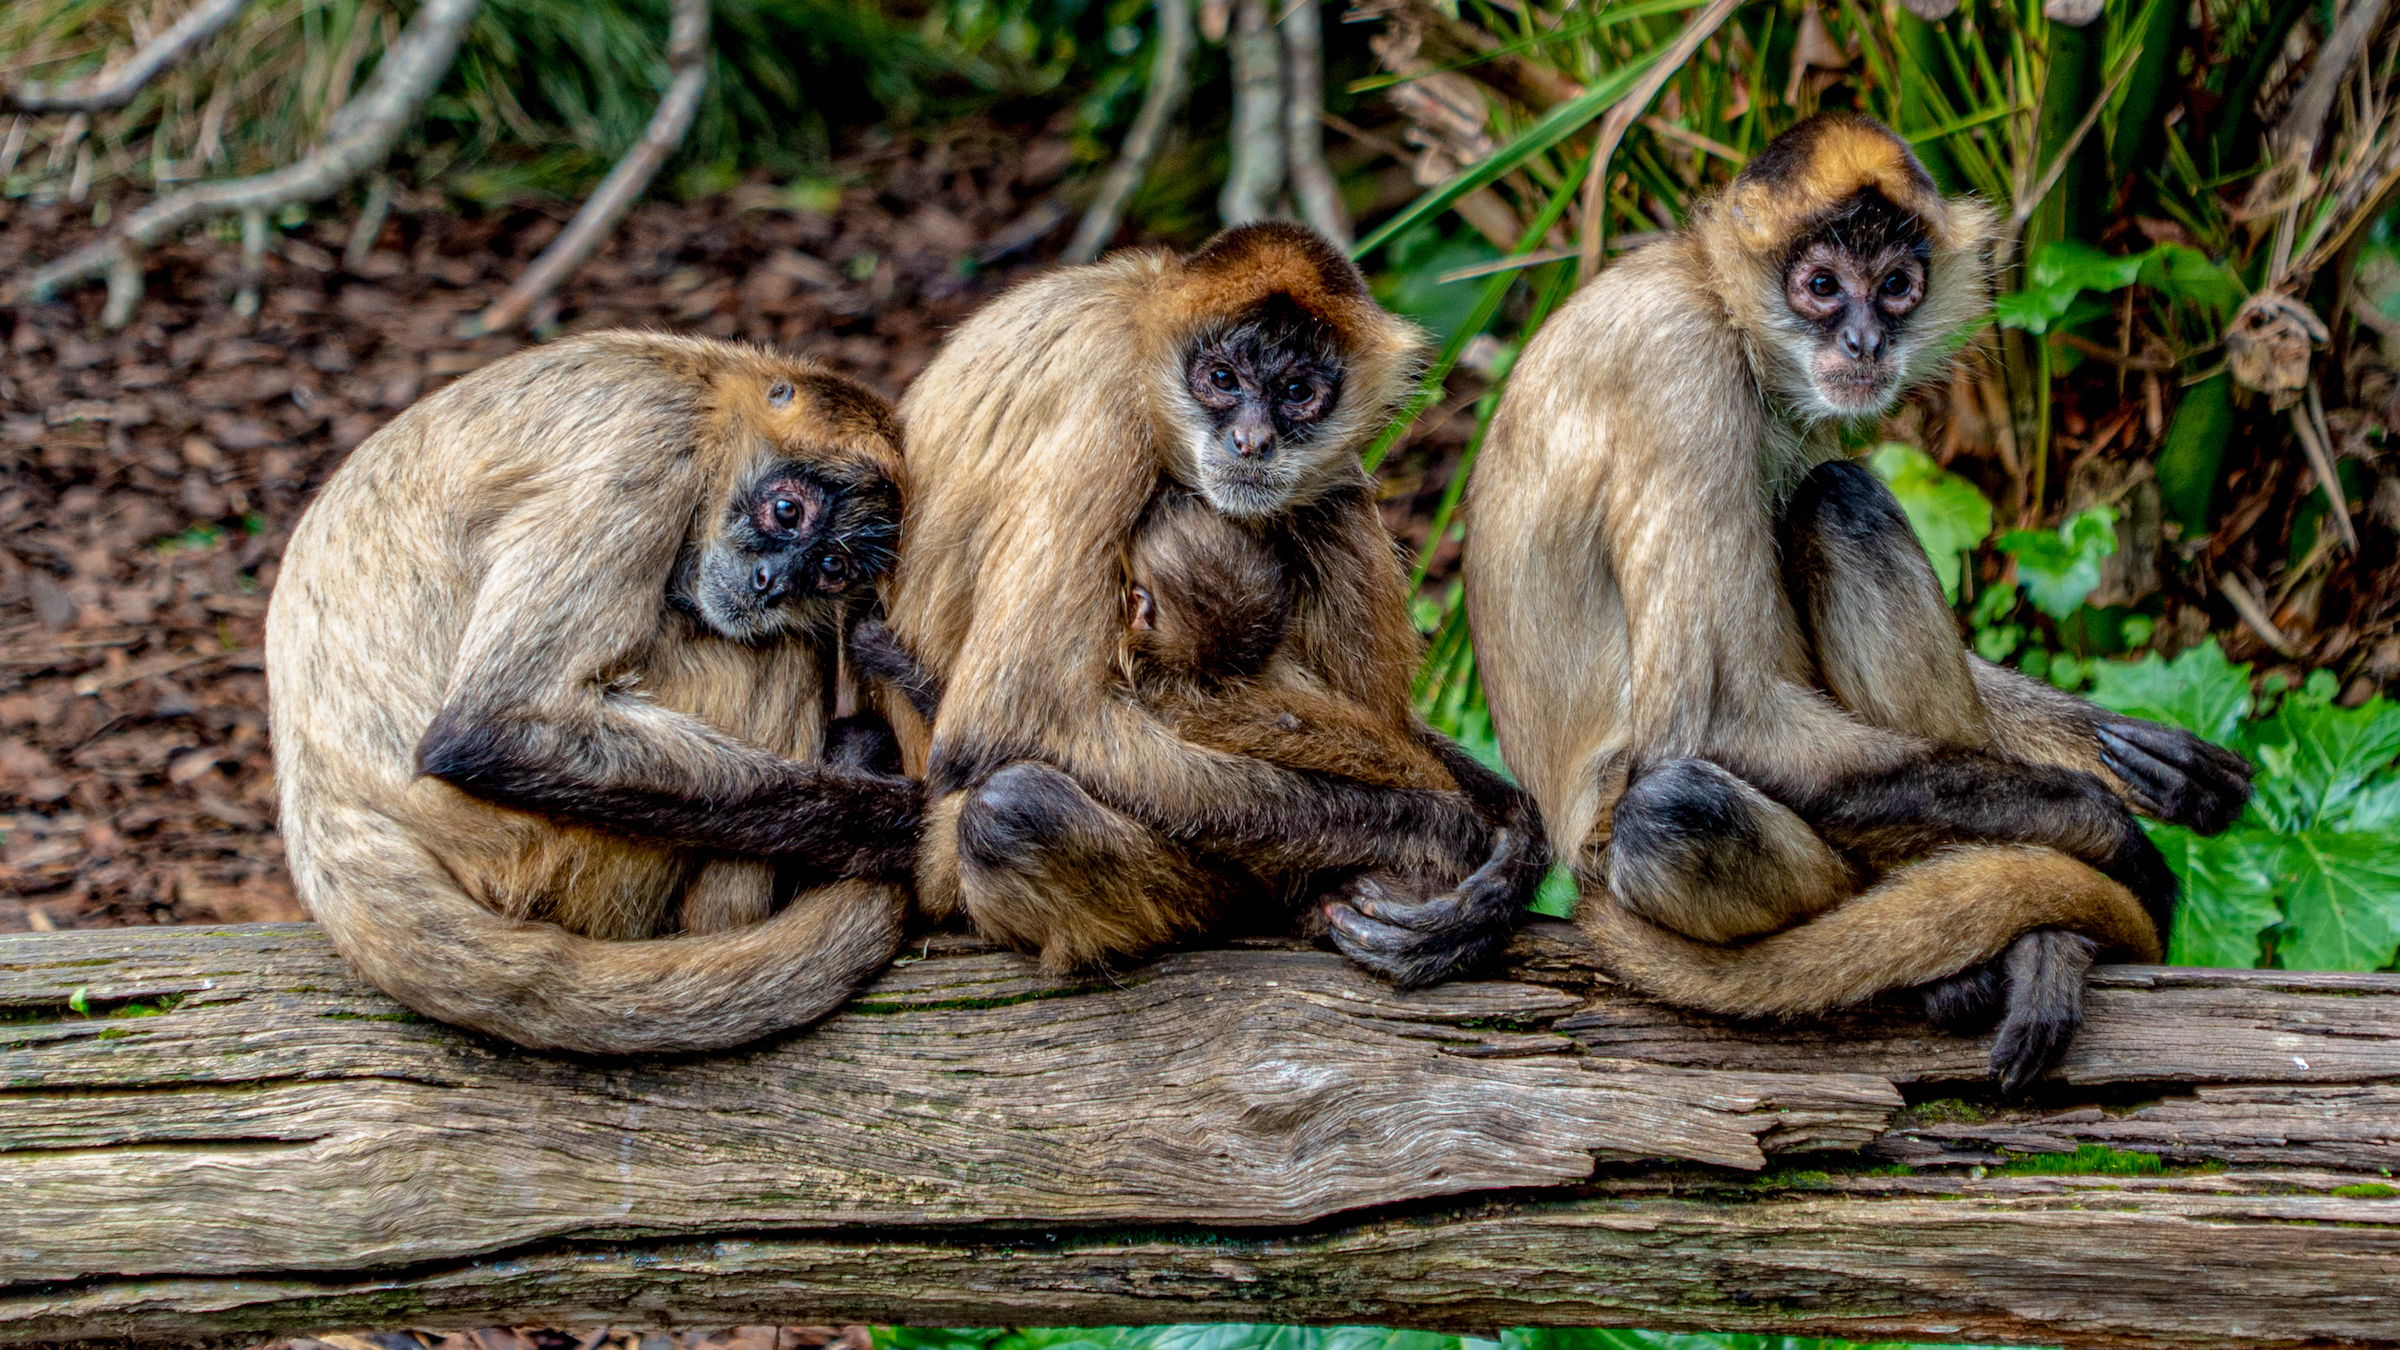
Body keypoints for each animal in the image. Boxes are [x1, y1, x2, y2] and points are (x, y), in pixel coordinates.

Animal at [1449, 112, 2256, 1080]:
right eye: (1823, 287)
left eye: (1897, 287)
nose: (1865, 342)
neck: (1705, 286)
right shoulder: (1681, 362)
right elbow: (1717, 722)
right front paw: (2121, 842)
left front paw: (2166, 767)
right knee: (1676, 808)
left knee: (1835, 500)